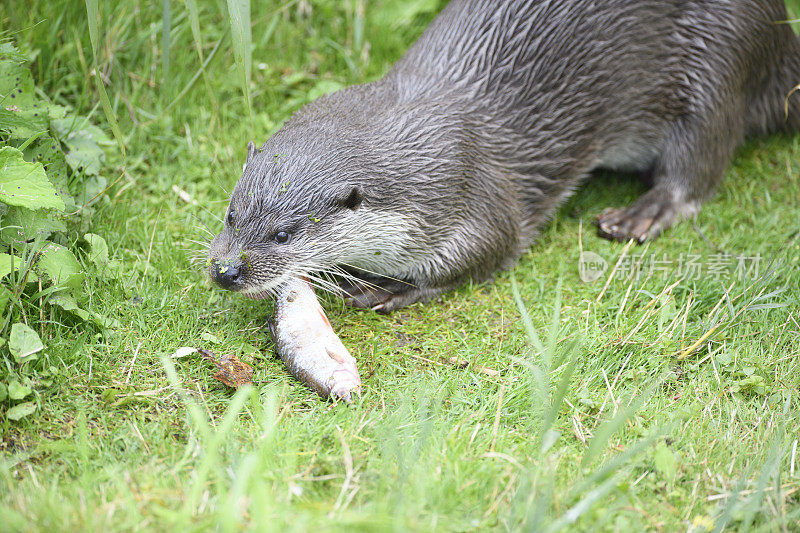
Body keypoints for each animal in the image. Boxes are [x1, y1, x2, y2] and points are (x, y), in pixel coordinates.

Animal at [208, 0, 800, 312]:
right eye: (232, 215)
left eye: (285, 234)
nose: (227, 270)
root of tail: (782, 33)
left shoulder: (476, 193)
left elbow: (487, 249)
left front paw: (388, 287)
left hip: (717, 64)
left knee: (698, 165)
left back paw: (641, 214)